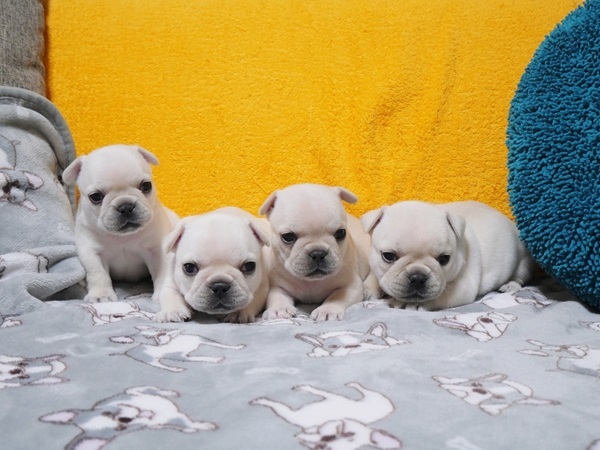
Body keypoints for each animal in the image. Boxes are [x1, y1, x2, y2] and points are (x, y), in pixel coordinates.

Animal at [63, 144, 179, 303]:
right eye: (95, 197)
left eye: (146, 186)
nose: (126, 207)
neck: (123, 237)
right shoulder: (91, 252)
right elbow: (98, 273)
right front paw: (101, 295)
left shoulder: (157, 251)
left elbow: (162, 271)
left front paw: (161, 293)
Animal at [259, 183, 370, 321]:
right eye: (288, 237)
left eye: (341, 233)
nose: (318, 253)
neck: (311, 282)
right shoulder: (277, 285)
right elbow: (276, 295)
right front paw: (279, 309)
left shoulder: (351, 285)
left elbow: (337, 297)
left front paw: (327, 310)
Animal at [362, 200, 535, 310]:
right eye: (388, 256)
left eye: (444, 259)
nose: (417, 277)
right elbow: (374, 277)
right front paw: (367, 289)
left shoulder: (463, 287)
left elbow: (441, 294)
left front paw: (408, 303)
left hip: (522, 262)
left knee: (520, 276)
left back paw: (510, 285)